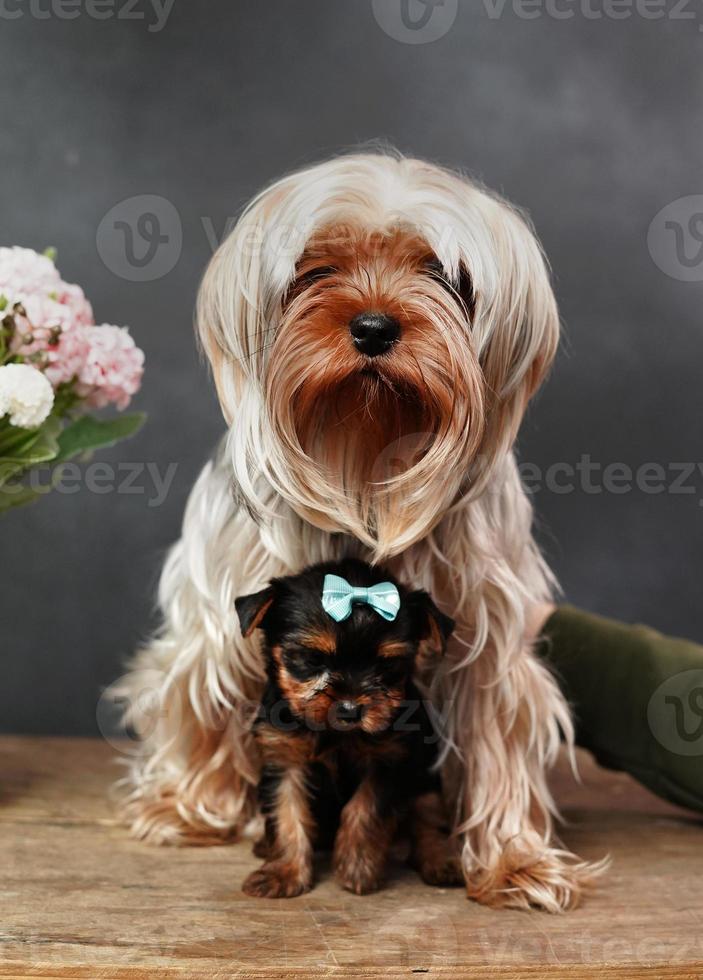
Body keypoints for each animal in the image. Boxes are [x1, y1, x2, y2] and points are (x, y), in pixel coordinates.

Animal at [236, 560, 462, 896]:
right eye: (313, 659)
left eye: (386, 666)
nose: (350, 709)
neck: (334, 734)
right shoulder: (283, 757)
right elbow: (287, 812)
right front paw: (284, 872)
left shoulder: (390, 760)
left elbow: (365, 808)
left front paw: (357, 867)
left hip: (425, 782)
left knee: (429, 821)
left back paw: (441, 861)